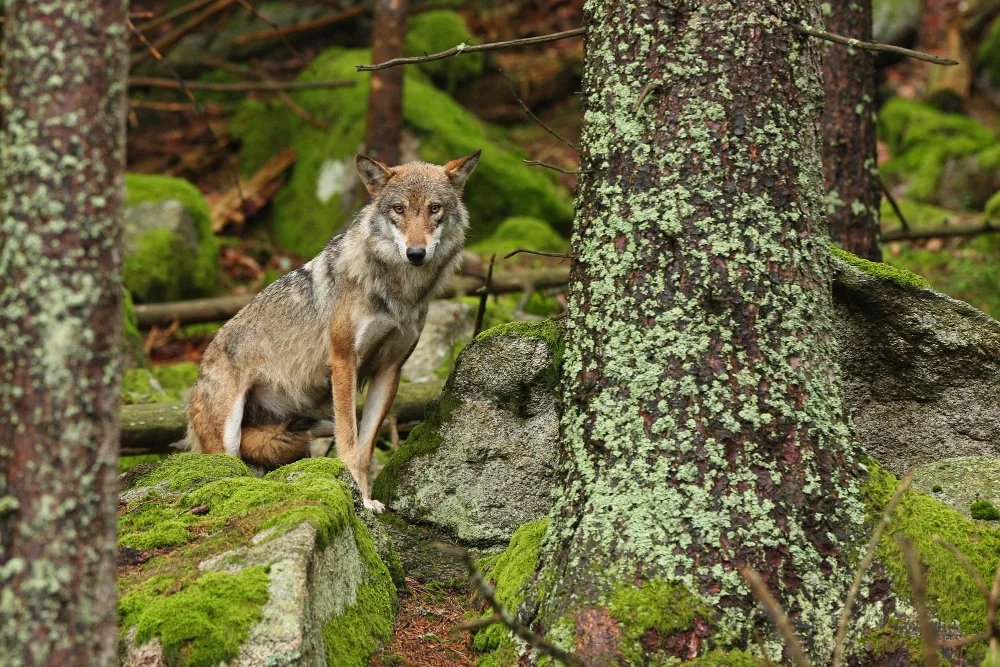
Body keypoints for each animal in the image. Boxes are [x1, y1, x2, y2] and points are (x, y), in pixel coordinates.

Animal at [184, 151, 480, 512]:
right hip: (228, 437)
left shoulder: (390, 370)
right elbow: (349, 442)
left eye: (434, 208)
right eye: (398, 209)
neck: (400, 292)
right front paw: (358, 501)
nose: (416, 253)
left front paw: (367, 500)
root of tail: (201, 366)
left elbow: (365, 450)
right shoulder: (343, 360)